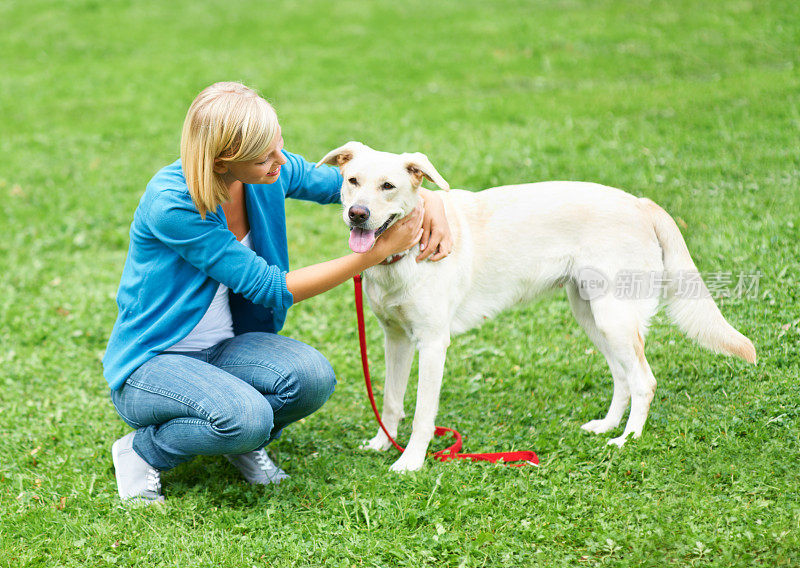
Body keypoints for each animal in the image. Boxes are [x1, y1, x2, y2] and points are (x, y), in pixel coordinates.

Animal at [318, 143, 756, 474]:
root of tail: (640, 202)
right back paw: (607, 426)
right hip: (592, 316)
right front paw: (381, 443)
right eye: (352, 181)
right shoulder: (395, 338)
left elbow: (424, 413)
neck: (402, 256)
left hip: (614, 319)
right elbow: (391, 402)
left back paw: (626, 439)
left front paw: (410, 462)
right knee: (623, 377)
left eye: (388, 186)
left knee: (644, 382)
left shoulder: (432, 343)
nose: (357, 213)